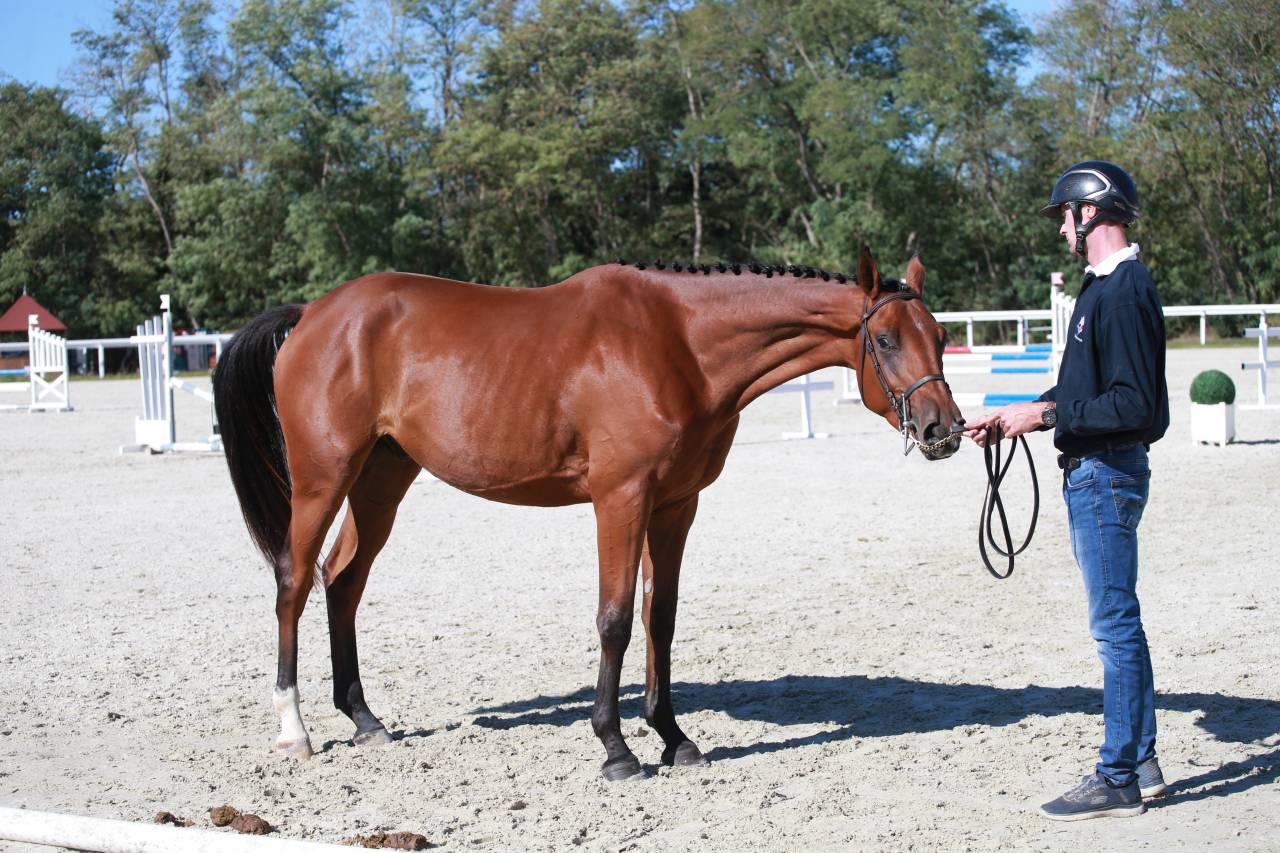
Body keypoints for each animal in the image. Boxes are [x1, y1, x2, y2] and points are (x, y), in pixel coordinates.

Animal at [212, 246, 964, 781]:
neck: (679, 344)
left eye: (938, 334)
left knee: (343, 581)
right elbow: (616, 619)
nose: (945, 430)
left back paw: (365, 719)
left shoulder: (676, 504)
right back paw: (295, 730)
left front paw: (674, 738)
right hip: (322, 478)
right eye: (886, 341)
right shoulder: (621, 498)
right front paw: (616, 748)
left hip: (381, 478)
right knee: (293, 583)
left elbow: (662, 618)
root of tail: (313, 314)